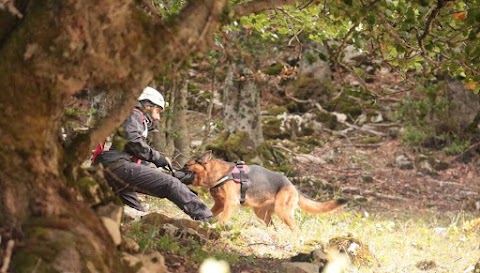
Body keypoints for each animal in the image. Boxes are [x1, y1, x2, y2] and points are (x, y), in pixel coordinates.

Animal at [182, 150, 346, 231]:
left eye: (186, 165)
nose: (177, 169)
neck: (220, 174)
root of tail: (293, 186)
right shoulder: (220, 205)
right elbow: (209, 212)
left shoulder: (231, 203)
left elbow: (223, 219)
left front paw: (216, 227)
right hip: (262, 213)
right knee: (273, 227)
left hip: (282, 211)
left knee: (295, 229)